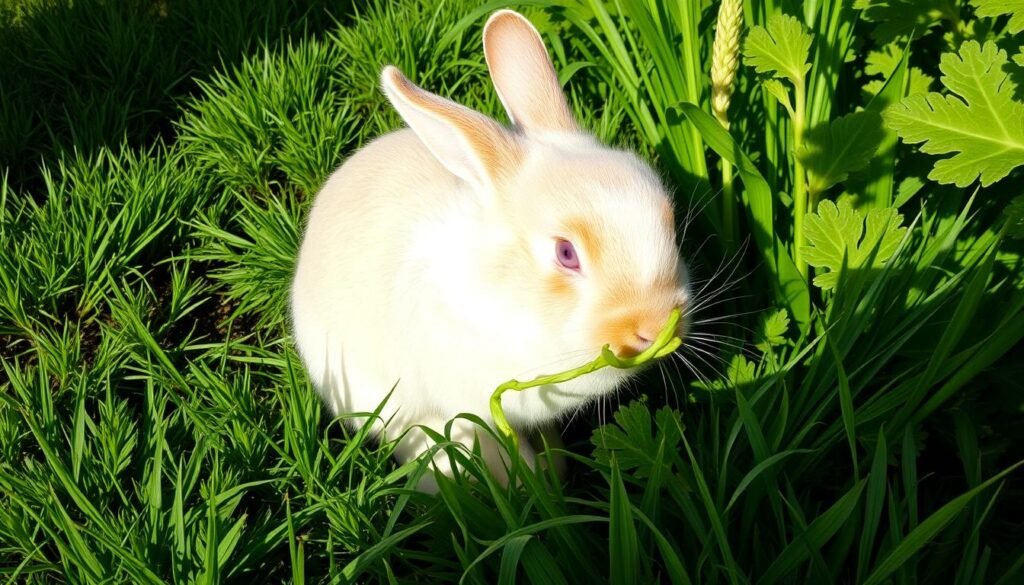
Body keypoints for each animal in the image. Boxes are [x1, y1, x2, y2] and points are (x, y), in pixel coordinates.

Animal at [288, 11, 688, 491]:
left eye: (669, 220)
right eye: (566, 253)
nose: (654, 325)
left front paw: (553, 467)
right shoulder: (469, 403)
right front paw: (530, 482)